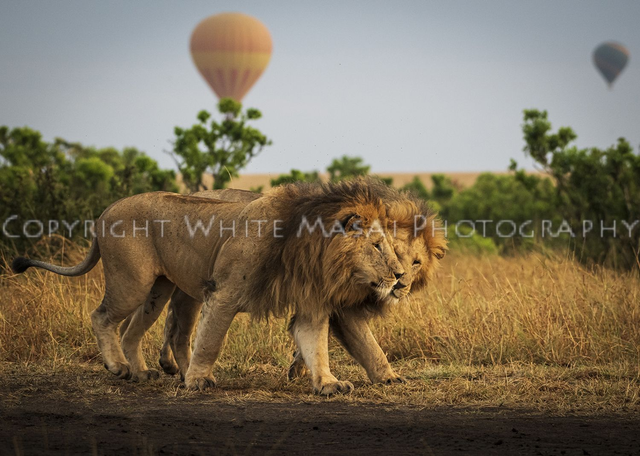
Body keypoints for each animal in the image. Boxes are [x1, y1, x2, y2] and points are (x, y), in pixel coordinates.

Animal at [12, 179, 407, 394]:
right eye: (376, 246)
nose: (401, 275)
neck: (308, 251)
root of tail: (104, 212)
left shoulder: (311, 305)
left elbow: (319, 346)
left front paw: (327, 383)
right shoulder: (224, 293)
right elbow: (212, 340)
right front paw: (199, 381)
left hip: (160, 289)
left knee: (137, 330)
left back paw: (142, 372)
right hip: (133, 282)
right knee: (103, 317)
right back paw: (120, 368)